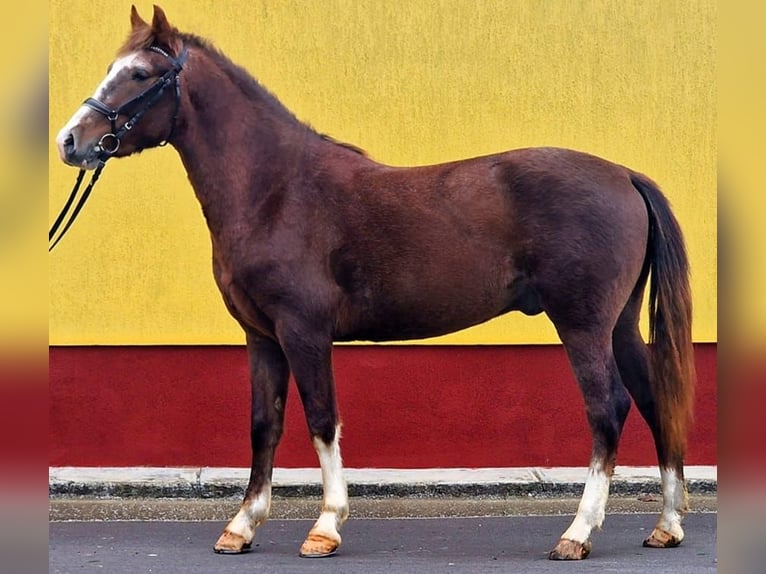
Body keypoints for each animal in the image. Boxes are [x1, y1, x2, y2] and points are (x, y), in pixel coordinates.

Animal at [54, 5, 695, 561]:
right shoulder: (262, 337)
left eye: (140, 74)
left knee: (607, 409)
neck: (276, 190)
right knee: (652, 398)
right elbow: (264, 424)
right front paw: (241, 526)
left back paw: (577, 533)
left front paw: (325, 527)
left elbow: (321, 420)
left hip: (583, 325)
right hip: (619, 325)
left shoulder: (304, 331)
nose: (70, 141)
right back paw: (666, 526)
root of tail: (624, 175)